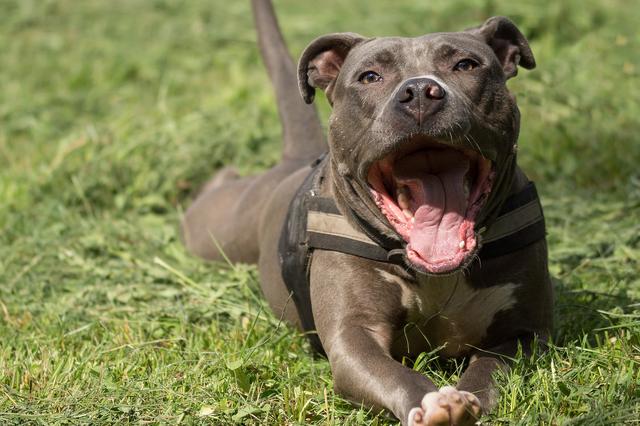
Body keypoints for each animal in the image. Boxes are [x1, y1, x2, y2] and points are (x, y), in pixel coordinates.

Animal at [182, 1, 552, 424]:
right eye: (370, 76)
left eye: (466, 65)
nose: (420, 92)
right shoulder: (353, 338)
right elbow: (394, 374)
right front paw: (433, 403)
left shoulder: (525, 331)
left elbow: (490, 369)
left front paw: (464, 399)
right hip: (216, 228)